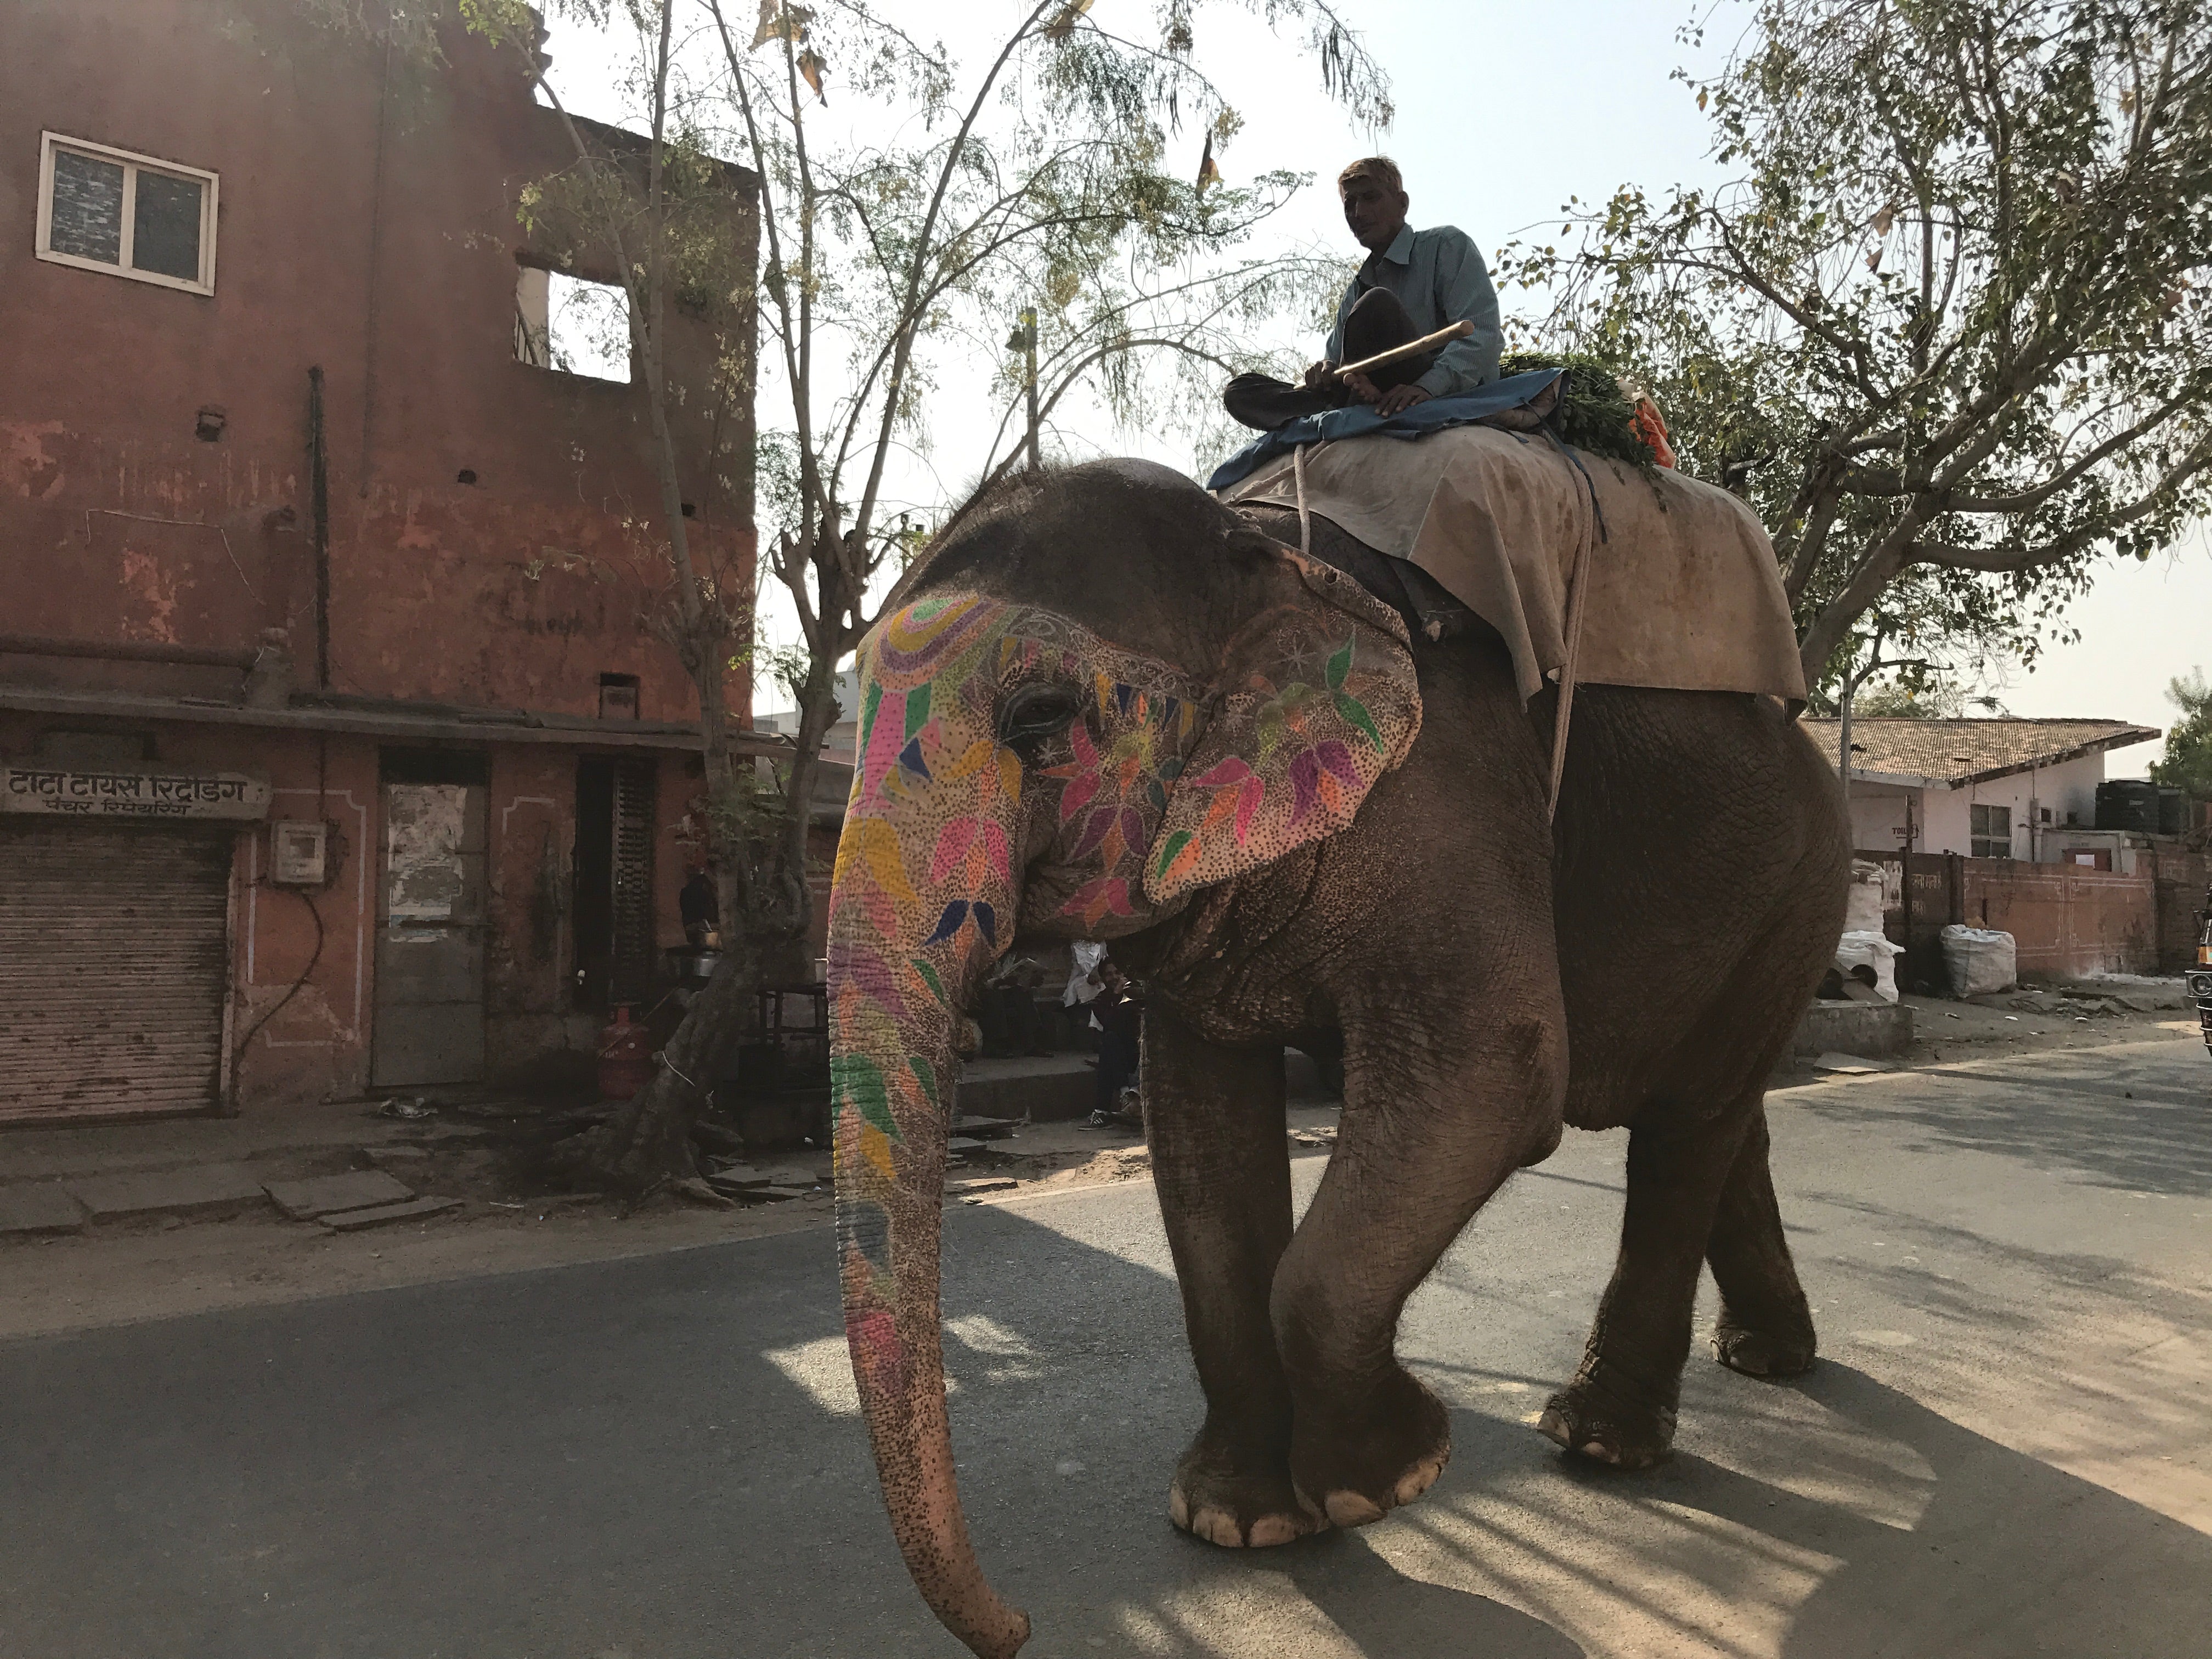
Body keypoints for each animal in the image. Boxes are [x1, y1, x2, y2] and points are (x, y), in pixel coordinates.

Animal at [832, 458, 1849, 1659]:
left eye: (1038, 719)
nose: (1020, 1626)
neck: (1260, 556)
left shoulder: (1446, 795)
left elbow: (1495, 1072)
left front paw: (1387, 1480)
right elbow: (1197, 1121)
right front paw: (1240, 1523)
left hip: (1801, 890)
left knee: (1689, 1123)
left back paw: (1599, 1441)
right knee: (1726, 1115)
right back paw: (1766, 1358)